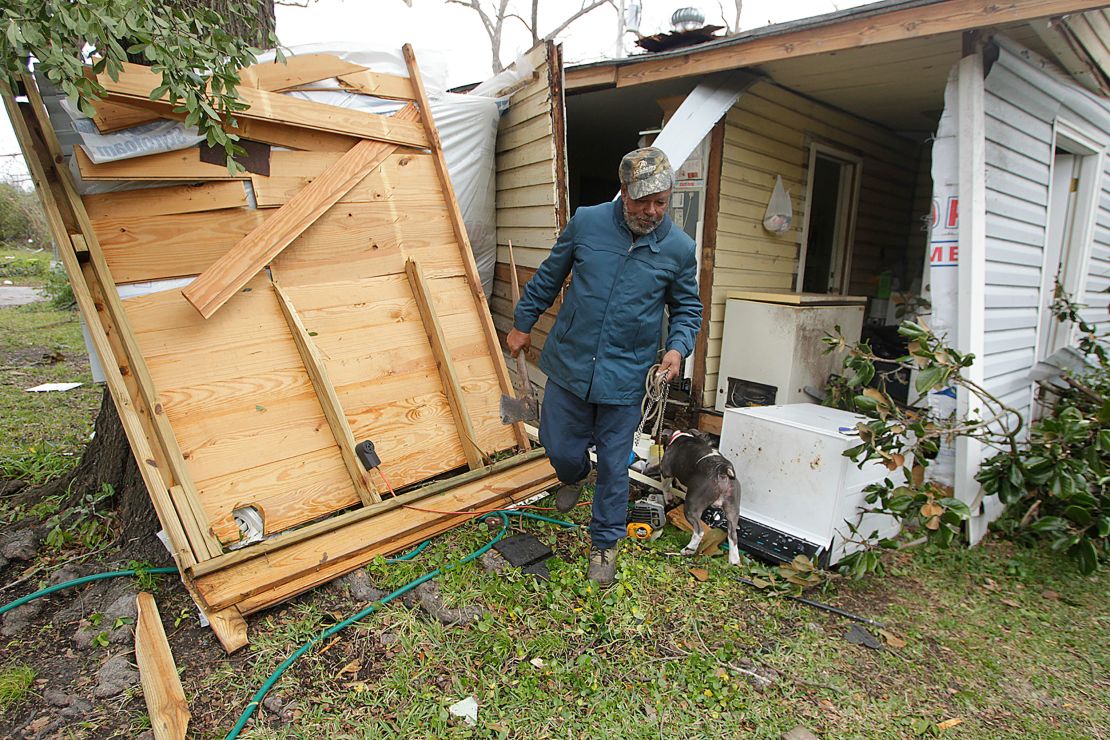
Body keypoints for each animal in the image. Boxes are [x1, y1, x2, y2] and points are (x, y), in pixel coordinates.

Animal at [652, 428, 741, 568]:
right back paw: (734, 560)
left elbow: (666, 486)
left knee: (699, 532)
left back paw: (688, 549)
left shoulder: (666, 472)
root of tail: (722, 470)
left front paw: (669, 498)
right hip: (732, 508)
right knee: (733, 535)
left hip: (692, 505)